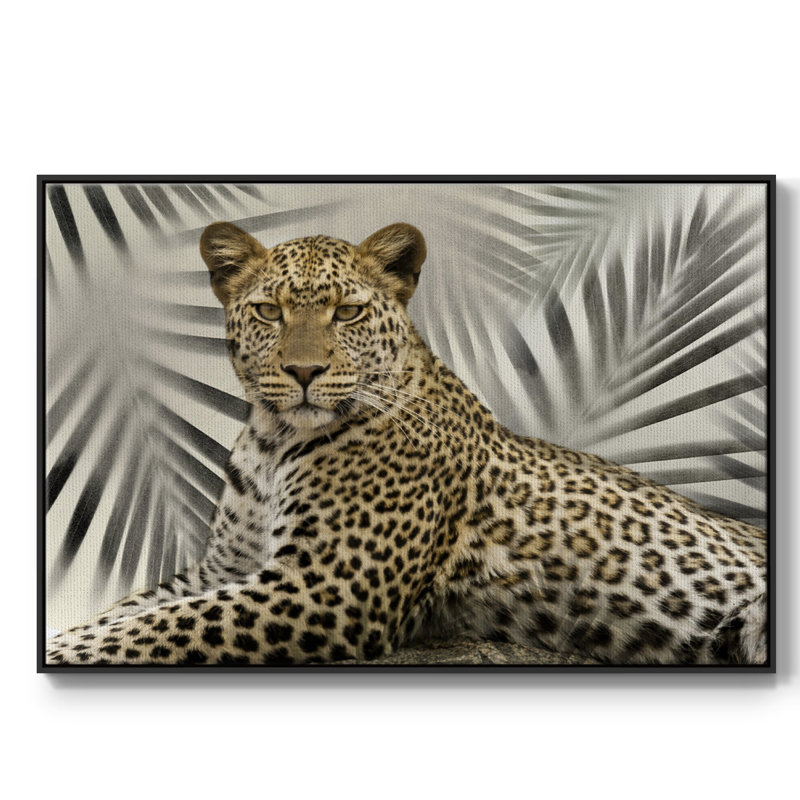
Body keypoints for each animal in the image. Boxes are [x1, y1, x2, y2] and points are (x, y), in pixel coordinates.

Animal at [45, 221, 768, 667]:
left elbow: (154, 628)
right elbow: (126, 613)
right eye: (269, 311)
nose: (303, 372)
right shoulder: (224, 568)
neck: (273, 440)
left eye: (347, 312)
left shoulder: (324, 587)